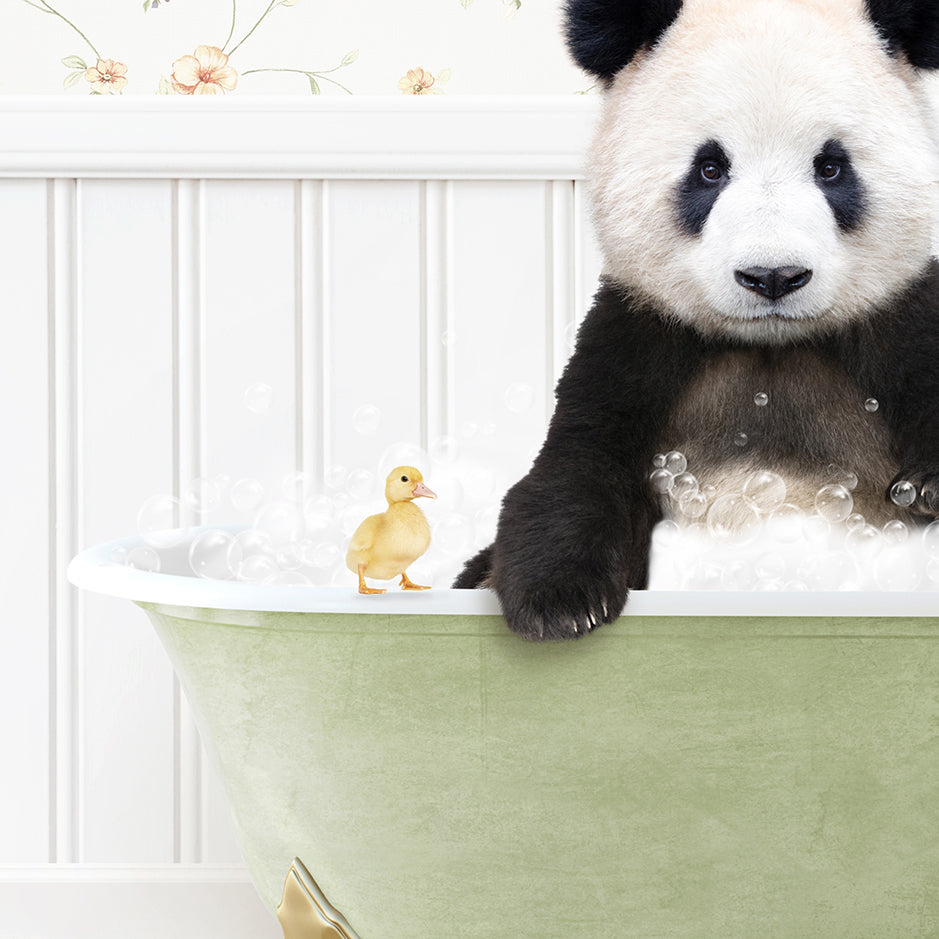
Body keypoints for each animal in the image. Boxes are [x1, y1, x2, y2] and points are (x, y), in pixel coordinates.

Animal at [458, 0, 939, 640]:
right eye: (710, 169)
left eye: (832, 168)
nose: (773, 276)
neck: (771, 347)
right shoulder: (639, 335)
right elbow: (578, 462)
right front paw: (560, 603)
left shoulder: (900, 318)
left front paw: (928, 488)